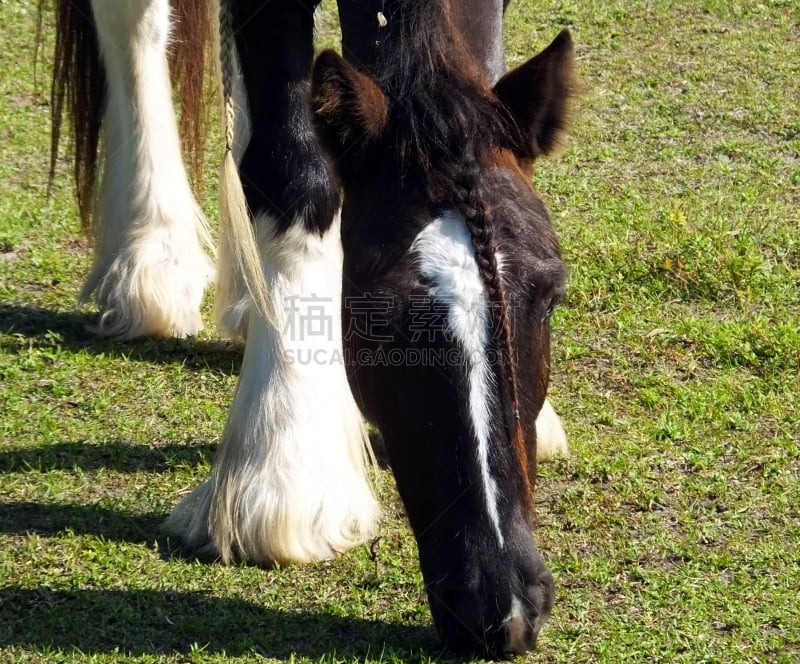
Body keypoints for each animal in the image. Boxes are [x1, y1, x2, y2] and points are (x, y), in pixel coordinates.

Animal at [47, 0, 572, 652]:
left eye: (550, 295)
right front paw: (282, 466)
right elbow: (294, 173)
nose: (505, 610)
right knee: (136, 25)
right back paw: (152, 256)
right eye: (376, 318)